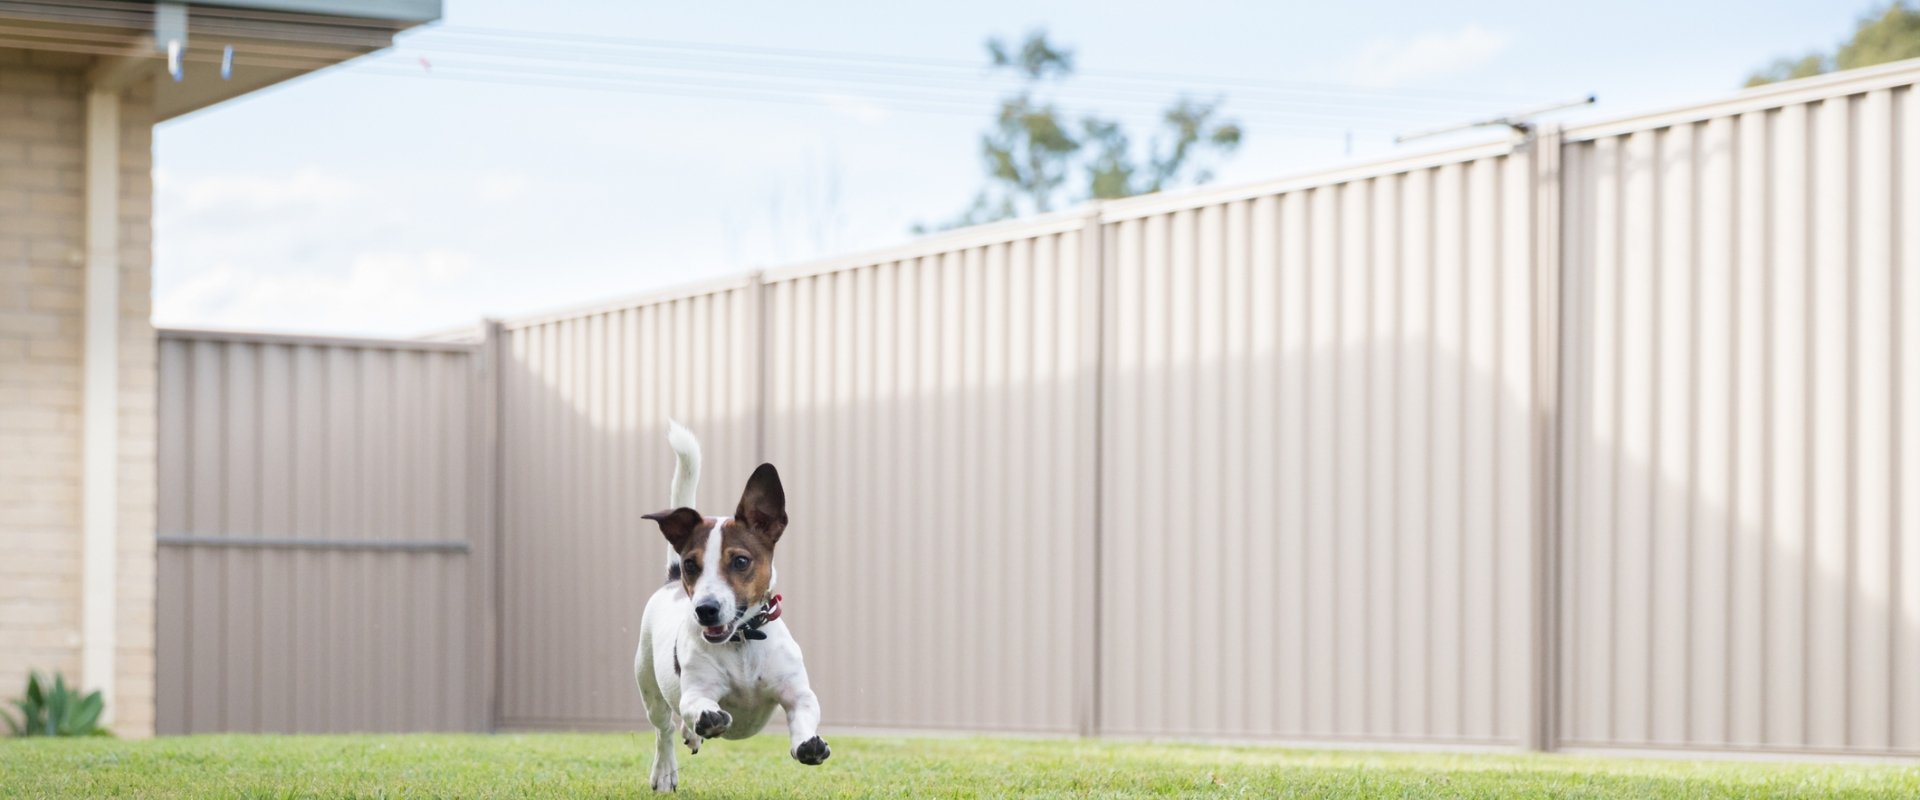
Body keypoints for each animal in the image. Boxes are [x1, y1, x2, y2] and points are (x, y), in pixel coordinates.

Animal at [637, 420, 825, 790]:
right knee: (664, 729)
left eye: (740, 561)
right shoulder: (696, 692)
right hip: (648, 685)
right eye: (692, 564)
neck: (742, 641)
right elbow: (698, 707)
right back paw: (665, 769)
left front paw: (807, 743)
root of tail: (671, 580)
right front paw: (707, 720)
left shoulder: (798, 693)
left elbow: (804, 714)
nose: (705, 609)